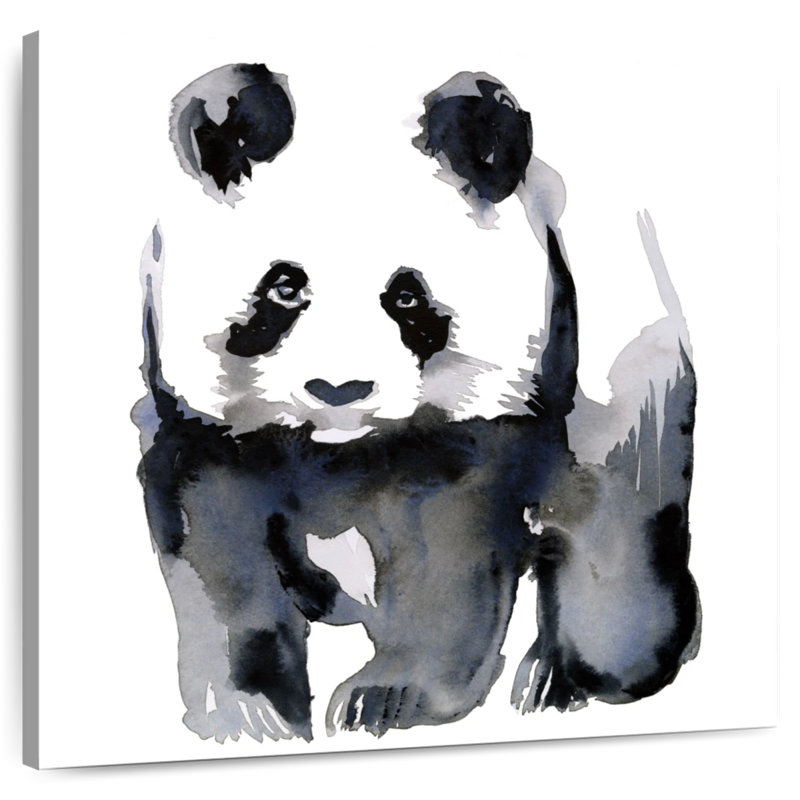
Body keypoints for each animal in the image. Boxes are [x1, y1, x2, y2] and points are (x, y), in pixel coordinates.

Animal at [133, 66, 700, 744]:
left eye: (406, 298)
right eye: (284, 287)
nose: (339, 391)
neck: (337, 451)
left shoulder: (493, 412)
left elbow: (446, 555)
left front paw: (382, 700)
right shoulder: (207, 426)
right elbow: (216, 546)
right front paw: (252, 712)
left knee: (616, 513)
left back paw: (572, 674)